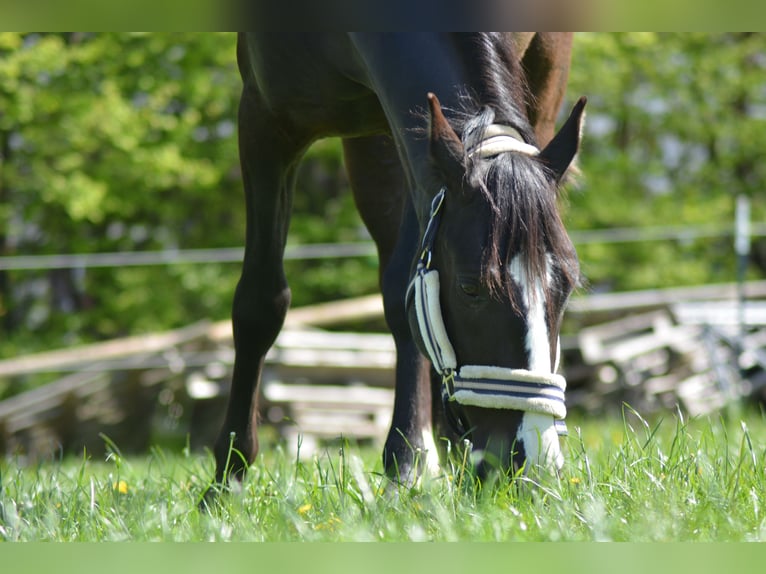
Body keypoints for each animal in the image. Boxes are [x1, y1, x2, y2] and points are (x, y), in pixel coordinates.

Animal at [213, 32, 584, 490]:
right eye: (470, 287)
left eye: (567, 285)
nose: (534, 461)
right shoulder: (264, 118)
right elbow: (260, 302)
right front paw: (227, 478)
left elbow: (405, 298)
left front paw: (407, 462)